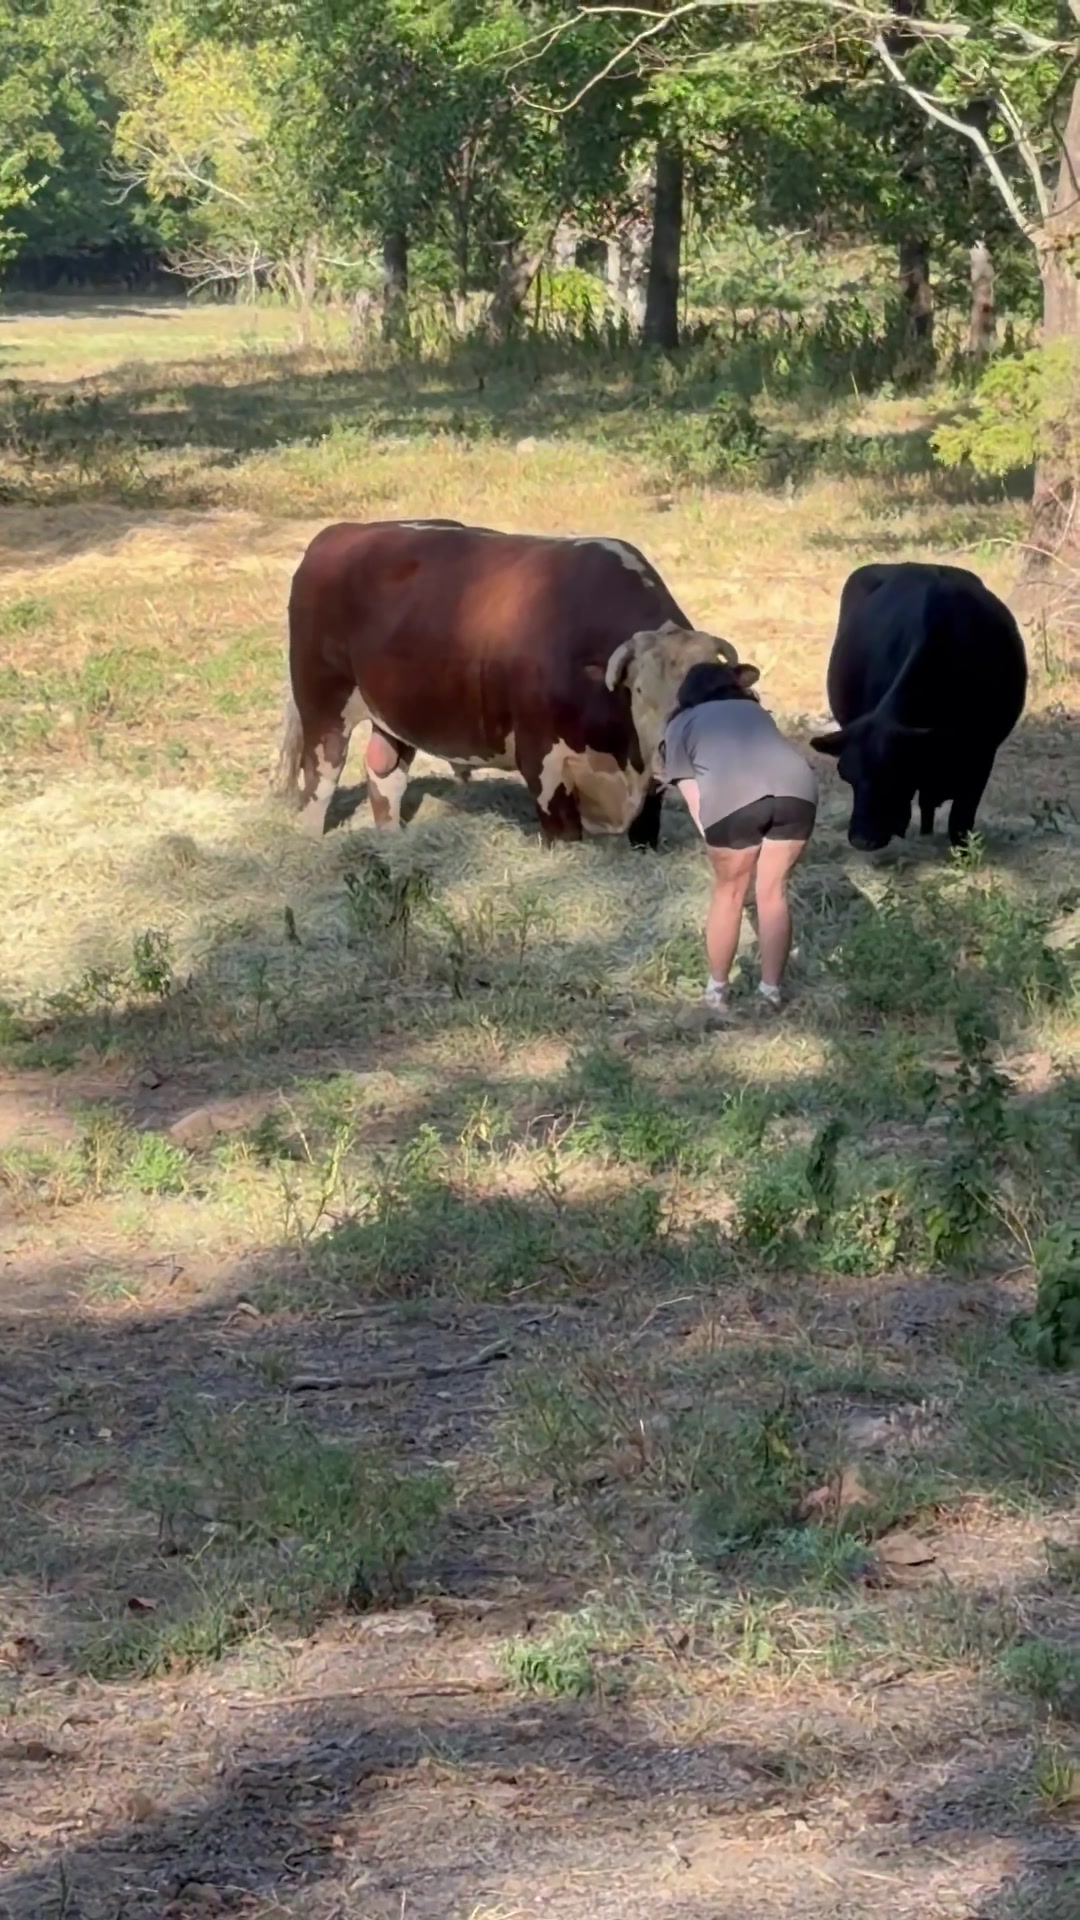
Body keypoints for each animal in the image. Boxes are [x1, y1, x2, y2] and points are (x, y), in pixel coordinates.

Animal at [273, 518, 750, 847]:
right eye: (638, 692)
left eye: (711, 694)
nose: (670, 751)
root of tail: (338, 534)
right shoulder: (543, 762)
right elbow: (563, 832)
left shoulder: (646, 791)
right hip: (324, 705)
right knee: (321, 778)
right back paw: (313, 844)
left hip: (393, 713)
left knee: (384, 775)